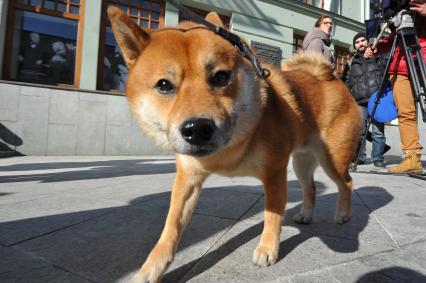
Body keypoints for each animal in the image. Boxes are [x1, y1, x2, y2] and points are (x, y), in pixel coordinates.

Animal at [109, 6, 360, 283]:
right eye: (164, 85)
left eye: (220, 77)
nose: (198, 128)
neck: (227, 150)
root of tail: (333, 79)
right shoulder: (188, 178)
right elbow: (171, 227)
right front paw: (151, 268)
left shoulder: (275, 174)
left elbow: (272, 216)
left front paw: (267, 249)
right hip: (301, 162)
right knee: (311, 187)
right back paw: (306, 214)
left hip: (332, 160)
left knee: (346, 183)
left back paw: (343, 214)